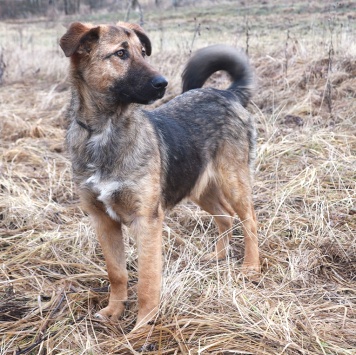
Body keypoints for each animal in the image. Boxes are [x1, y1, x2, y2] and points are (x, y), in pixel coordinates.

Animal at [58, 21, 258, 330]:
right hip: (199, 186)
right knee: (225, 216)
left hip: (233, 180)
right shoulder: (103, 221)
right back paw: (217, 256)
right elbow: (117, 273)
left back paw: (251, 267)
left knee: (250, 221)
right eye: (120, 54)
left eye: (143, 52)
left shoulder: (147, 221)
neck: (104, 132)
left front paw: (143, 325)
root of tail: (227, 93)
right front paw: (114, 311)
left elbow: (148, 280)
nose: (162, 83)